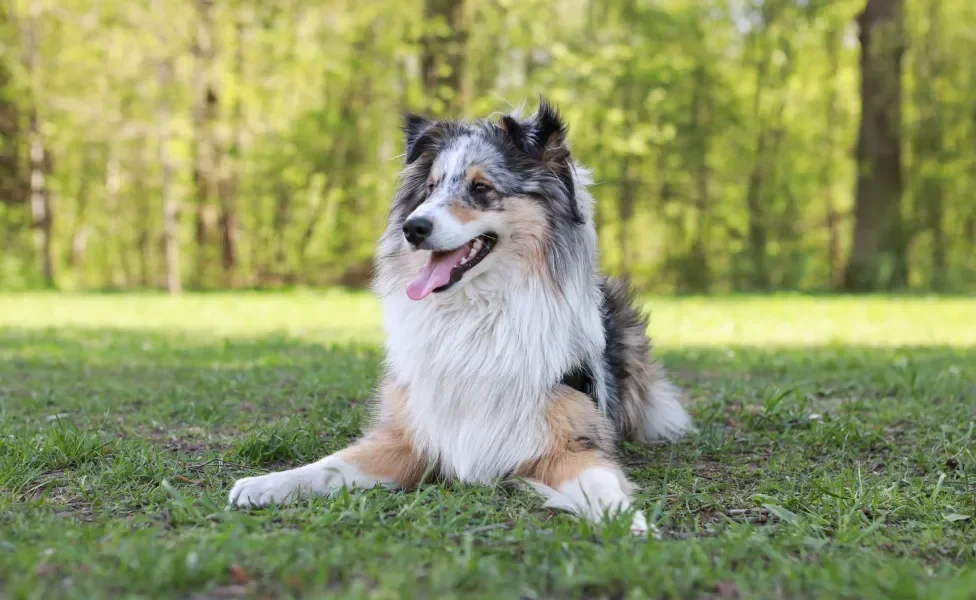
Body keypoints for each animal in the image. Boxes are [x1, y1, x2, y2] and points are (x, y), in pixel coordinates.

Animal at [229, 98, 692, 536]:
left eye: (481, 187)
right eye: (431, 188)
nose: (412, 228)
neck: (475, 313)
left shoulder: (571, 444)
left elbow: (602, 485)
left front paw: (630, 523)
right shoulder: (412, 435)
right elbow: (329, 465)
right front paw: (265, 483)